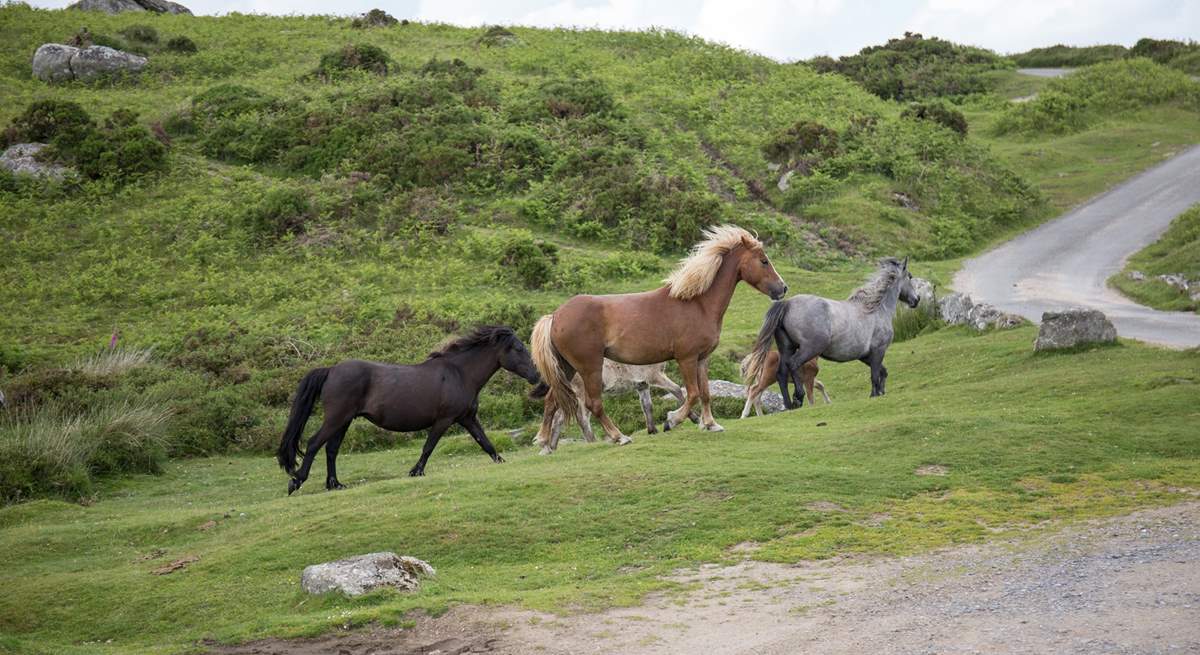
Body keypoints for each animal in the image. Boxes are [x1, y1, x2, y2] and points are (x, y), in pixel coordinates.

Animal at [276, 323, 540, 491]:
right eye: (519, 348)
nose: (537, 376)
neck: (460, 374)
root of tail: (331, 370)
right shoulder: (445, 420)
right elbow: (429, 446)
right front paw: (416, 471)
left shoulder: (467, 418)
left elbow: (485, 443)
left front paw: (501, 461)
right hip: (337, 418)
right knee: (314, 444)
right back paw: (296, 481)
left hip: (344, 421)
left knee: (331, 450)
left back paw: (335, 485)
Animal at [532, 221, 787, 441]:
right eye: (764, 261)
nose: (783, 288)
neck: (698, 304)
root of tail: (555, 316)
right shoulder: (686, 358)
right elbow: (692, 393)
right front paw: (672, 420)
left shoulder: (702, 359)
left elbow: (705, 393)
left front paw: (711, 424)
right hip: (589, 367)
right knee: (592, 404)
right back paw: (619, 437)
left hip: (566, 367)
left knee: (551, 401)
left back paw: (544, 442)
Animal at [535, 357, 686, 453]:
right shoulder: (655, 376)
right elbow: (678, 391)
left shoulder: (642, 384)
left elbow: (647, 406)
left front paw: (652, 430)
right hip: (581, 393)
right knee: (582, 418)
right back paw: (594, 441)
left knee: (558, 417)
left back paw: (550, 446)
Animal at [739, 254, 916, 403]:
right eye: (910, 276)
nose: (916, 299)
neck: (876, 309)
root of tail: (787, 303)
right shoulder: (878, 350)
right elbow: (875, 375)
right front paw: (874, 394)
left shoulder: (865, 355)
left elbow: (882, 372)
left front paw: (881, 392)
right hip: (810, 348)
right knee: (793, 364)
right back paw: (798, 397)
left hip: (787, 347)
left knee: (781, 373)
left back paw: (789, 405)